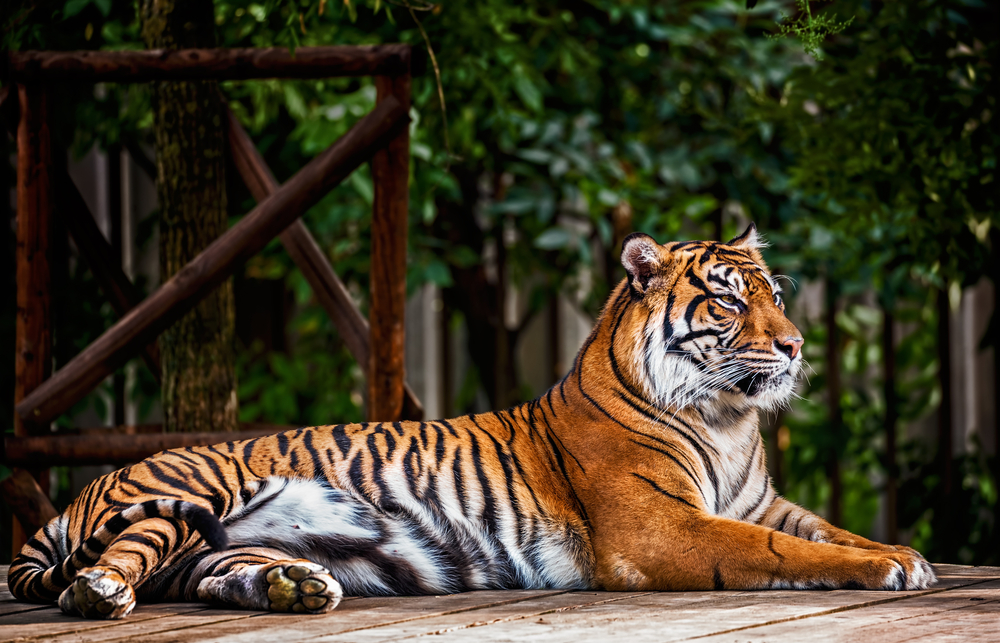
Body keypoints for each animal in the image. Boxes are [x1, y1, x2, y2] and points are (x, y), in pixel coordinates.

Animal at [8, 224, 936, 620]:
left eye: (773, 292)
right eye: (730, 299)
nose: (796, 343)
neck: (728, 417)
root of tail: (84, 491)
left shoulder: (759, 501)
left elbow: (826, 529)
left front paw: (902, 551)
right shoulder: (661, 527)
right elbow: (782, 551)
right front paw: (890, 566)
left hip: (223, 543)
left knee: (211, 573)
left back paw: (294, 586)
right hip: (188, 492)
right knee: (121, 558)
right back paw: (104, 593)